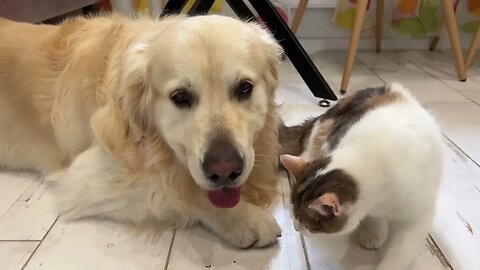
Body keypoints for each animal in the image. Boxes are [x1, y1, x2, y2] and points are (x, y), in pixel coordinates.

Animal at [280, 83, 444, 268]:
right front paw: (375, 234)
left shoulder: (419, 214)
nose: (296, 228)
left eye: (307, 224)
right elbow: (375, 218)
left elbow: (402, 251)